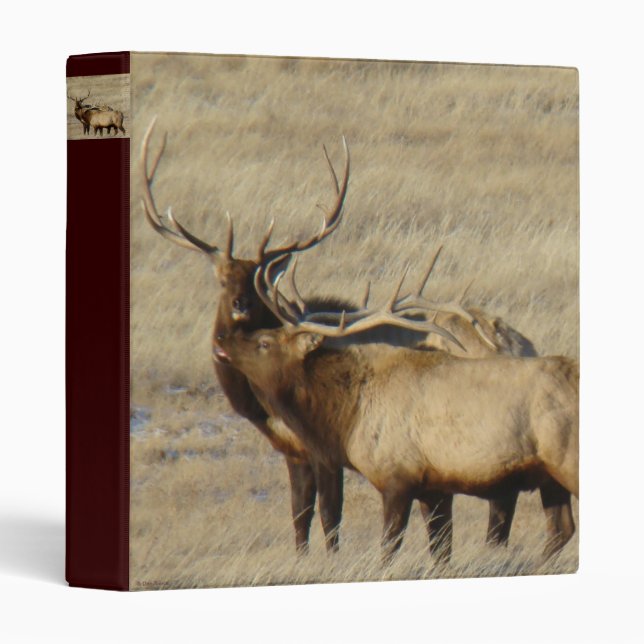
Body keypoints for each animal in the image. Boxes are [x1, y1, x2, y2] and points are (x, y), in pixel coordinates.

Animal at [213, 257, 578, 564]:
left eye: (264, 343)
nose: (223, 341)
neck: (347, 417)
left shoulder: (396, 476)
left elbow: (386, 548)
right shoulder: (434, 486)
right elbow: (441, 551)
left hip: (567, 461)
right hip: (549, 477)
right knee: (560, 530)